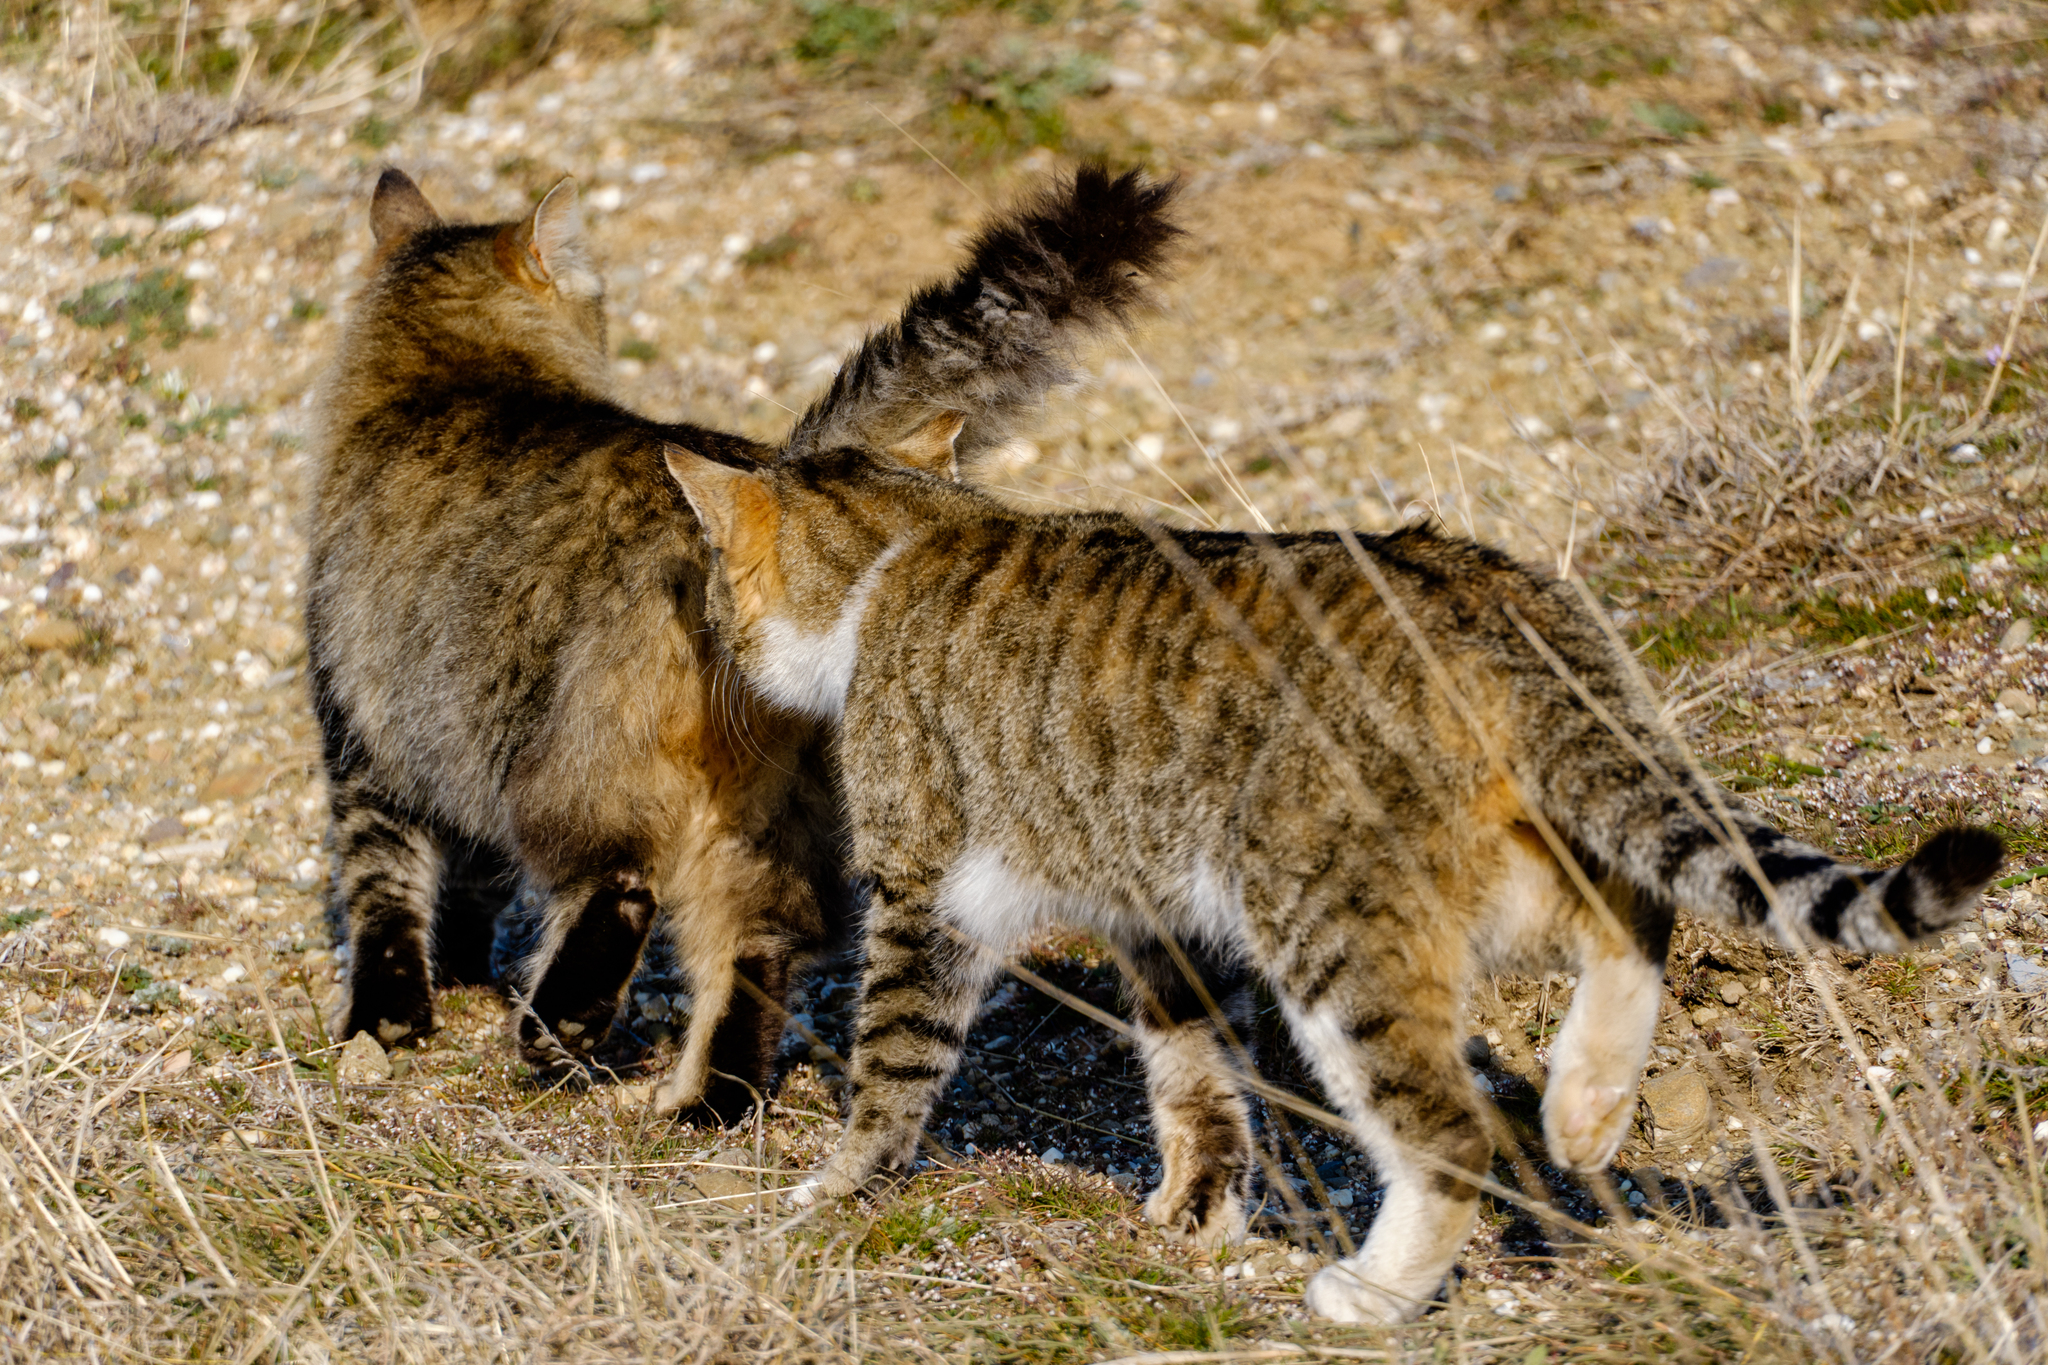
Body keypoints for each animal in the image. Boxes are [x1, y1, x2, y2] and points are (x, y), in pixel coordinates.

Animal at [667, 167, 1998, 1326]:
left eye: (719, 581)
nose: (715, 635)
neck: (902, 549)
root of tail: (1482, 591)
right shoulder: (1163, 923)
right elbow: (1196, 1079)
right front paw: (1195, 1212)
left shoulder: (925, 891)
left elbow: (893, 1063)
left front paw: (831, 1191)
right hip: (1502, 849)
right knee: (1635, 912)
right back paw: (1585, 1109)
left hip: (1331, 916)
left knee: (1454, 1131)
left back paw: (1375, 1291)